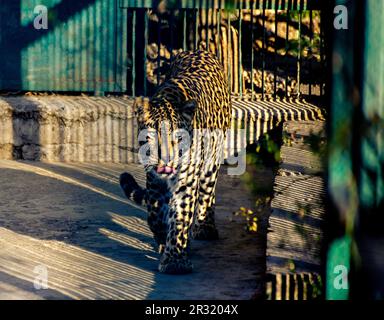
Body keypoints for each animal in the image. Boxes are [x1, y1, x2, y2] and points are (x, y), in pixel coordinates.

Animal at [119, 48, 231, 274]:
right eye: (152, 137)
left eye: (178, 138)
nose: (166, 162)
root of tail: (199, 49)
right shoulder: (153, 181)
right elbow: (155, 214)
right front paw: (163, 239)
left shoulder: (186, 182)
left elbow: (180, 217)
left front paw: (175, 260)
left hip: (212, 159)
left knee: (207, 193)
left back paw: (205, 227)